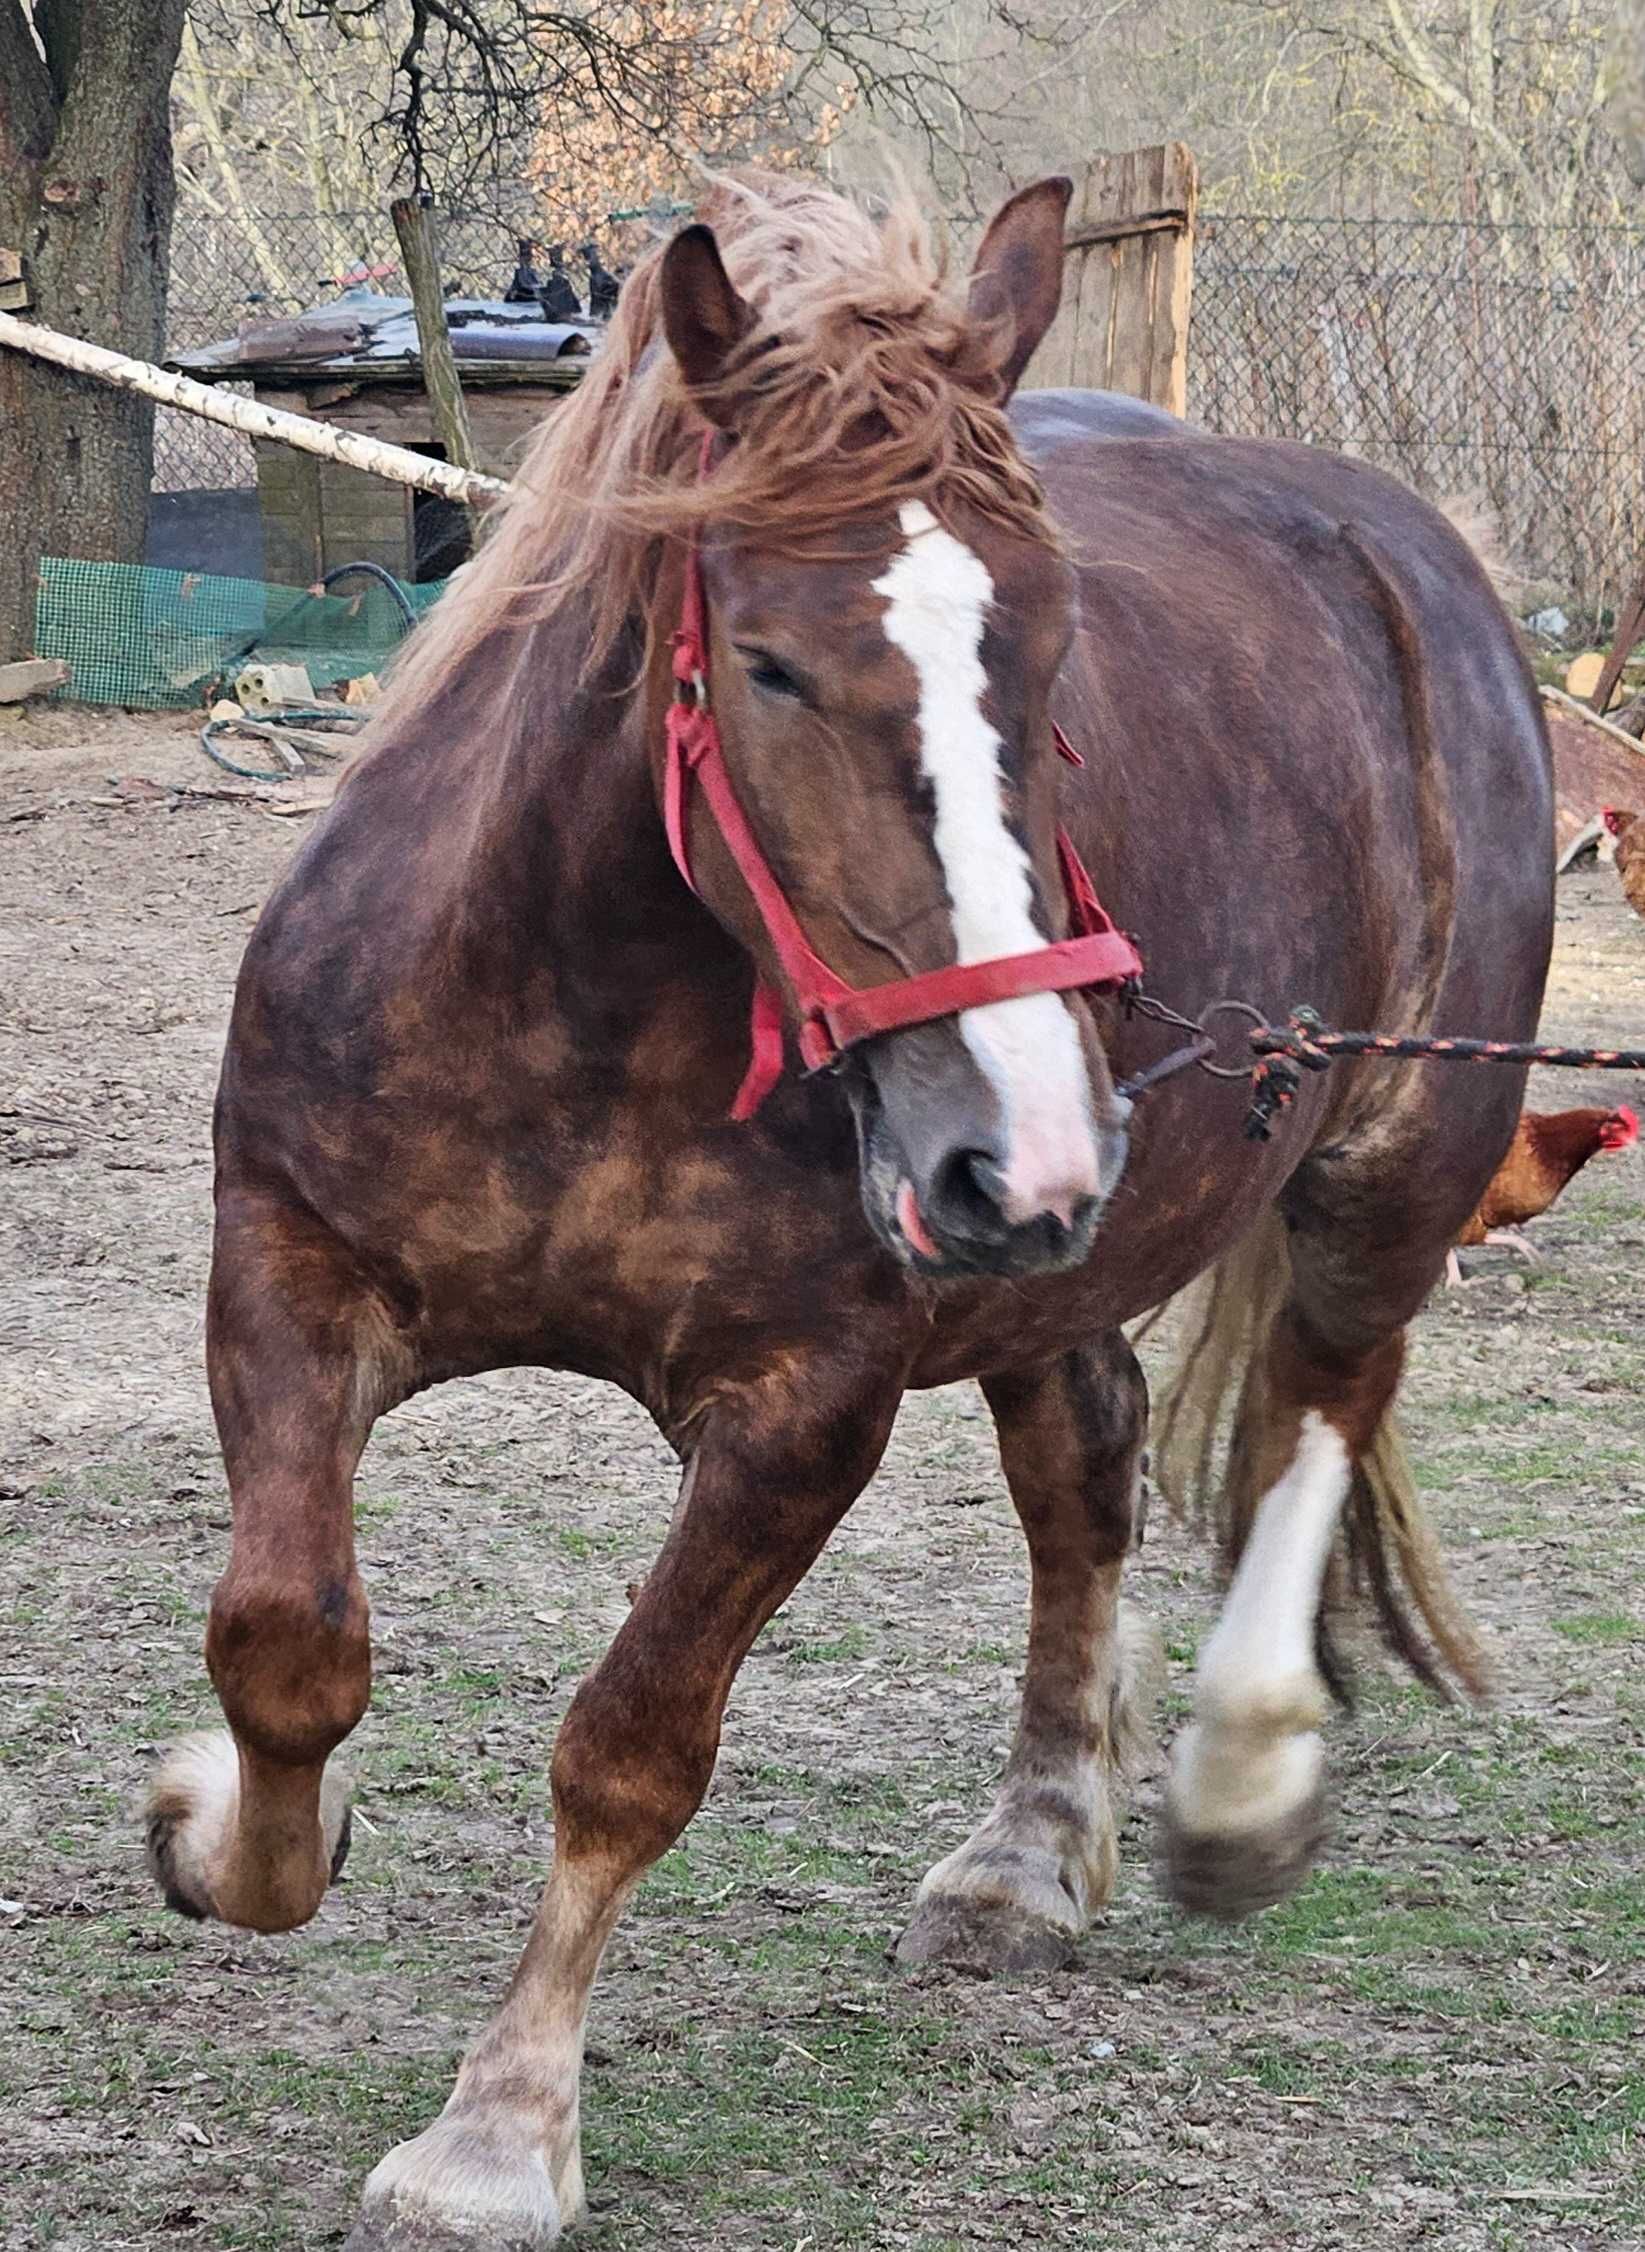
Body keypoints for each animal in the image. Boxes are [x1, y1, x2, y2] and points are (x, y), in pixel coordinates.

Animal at [147, 180, 1541, 2252]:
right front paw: (218, 1828)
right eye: (776, 662)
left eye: (1056, 656)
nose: (1026, 1145)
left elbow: (631, 1747)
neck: (579, 1007)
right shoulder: (291, 1274)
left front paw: (497, 2133)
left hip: (1386, 1169)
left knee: (1316, 1414)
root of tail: (1411, 557)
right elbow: (285, 1642)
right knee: (1090, 1468)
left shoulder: (803, 1410)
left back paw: (1233, 1775)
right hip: (1055, 1284)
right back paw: (1033, 1849)